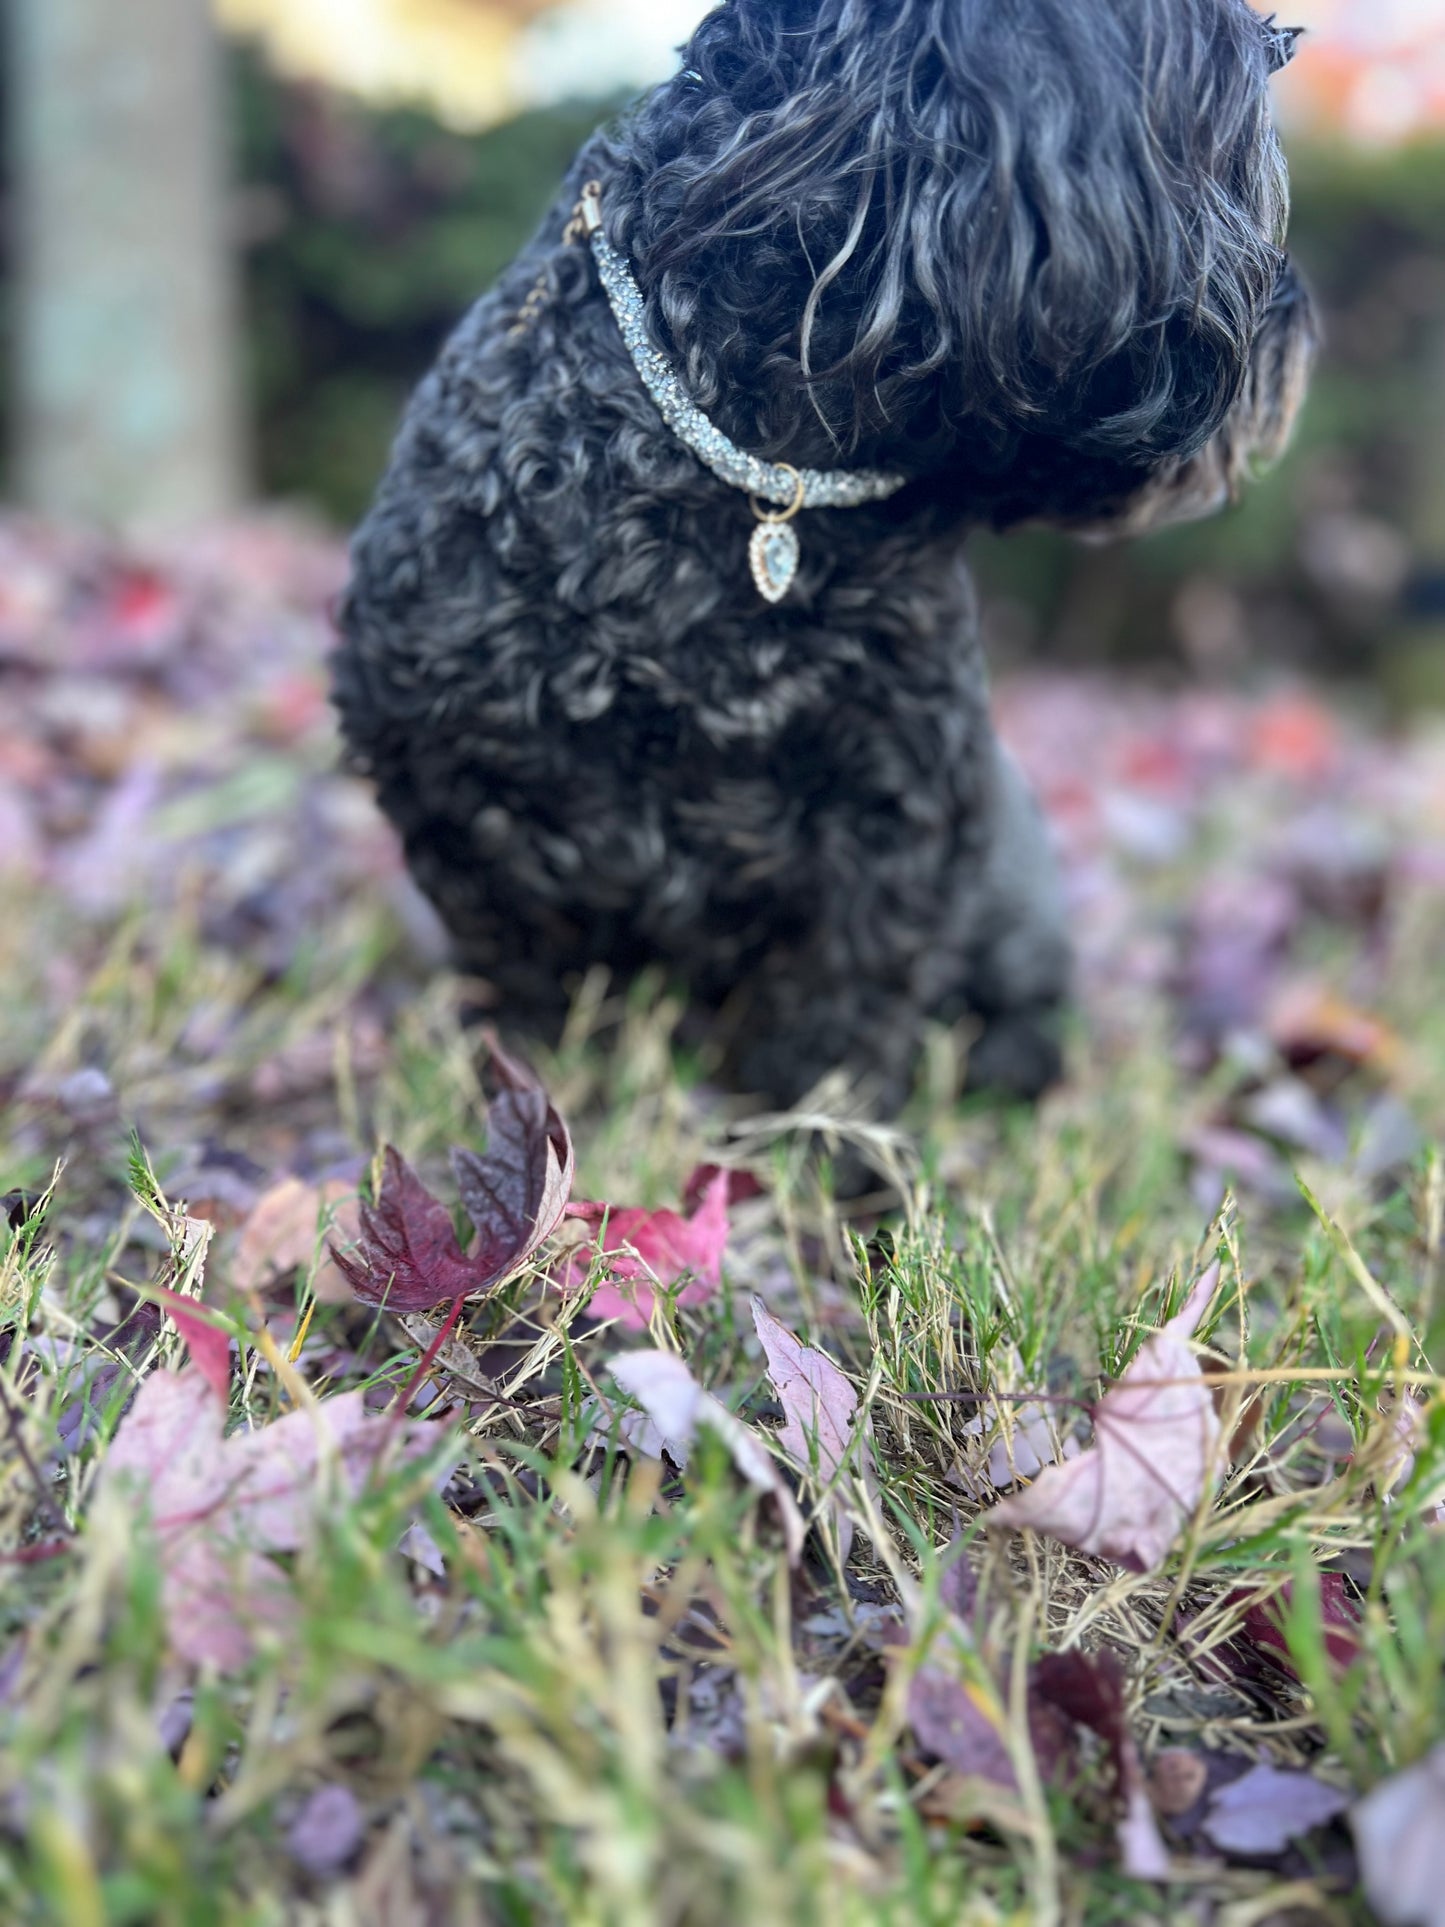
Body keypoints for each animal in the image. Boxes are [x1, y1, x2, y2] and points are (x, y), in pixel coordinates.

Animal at [333, 0, 1317, 1125]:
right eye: (1229, 158)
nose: (1296, 325)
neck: (753, 470)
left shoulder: (896, 820)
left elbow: (845, 1016)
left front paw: (824, 1154)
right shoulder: (462, 799)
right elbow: (529, 982)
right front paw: (527, 1095)